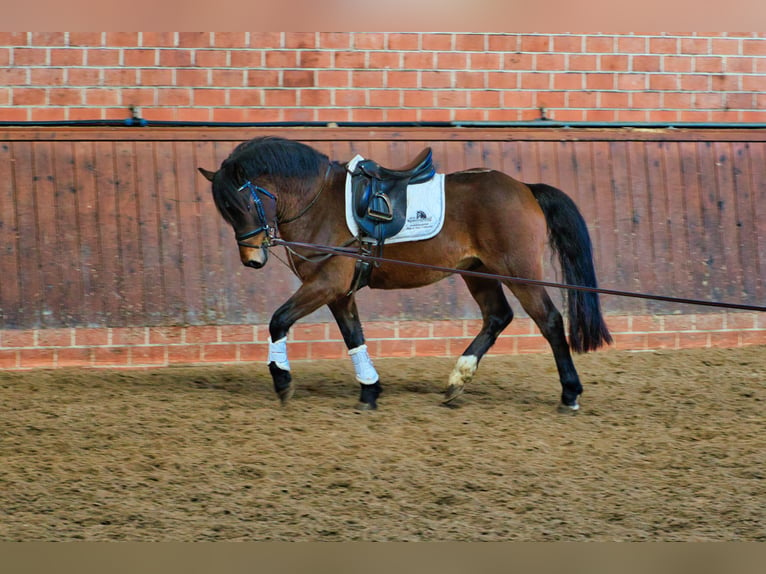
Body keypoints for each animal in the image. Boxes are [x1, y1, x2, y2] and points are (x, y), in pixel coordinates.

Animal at [198, 135, 612, 414]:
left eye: (240, 205)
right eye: (226, 210)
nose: (252, 259)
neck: (316, 202)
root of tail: (524, 187)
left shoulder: (326, 284)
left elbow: (278, 320)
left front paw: (282, 381)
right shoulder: (340, 291)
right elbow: (353, 336)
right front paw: (370, 391)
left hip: (518, 270)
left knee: (549, 320)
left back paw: (569, 394)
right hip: (476, 271)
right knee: (498, 316)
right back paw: (457, 380)